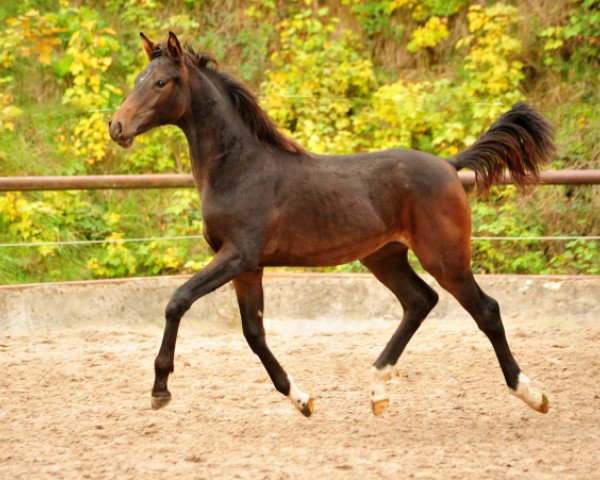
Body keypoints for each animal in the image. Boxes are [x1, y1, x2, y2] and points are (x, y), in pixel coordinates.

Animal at [109, 32, 552, 416]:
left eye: (161, 82)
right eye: (137, 80)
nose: (117, 127)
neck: (240, 168)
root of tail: (448, 164)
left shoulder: (238, 256)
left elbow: (177, 301)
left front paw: (160, 390)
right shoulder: (248, 267)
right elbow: (254, 334)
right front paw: (302, 399)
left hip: (445, 257)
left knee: (486, 310)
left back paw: (532, 394)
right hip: (384, 257)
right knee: (419, 301)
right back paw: (377, 391)